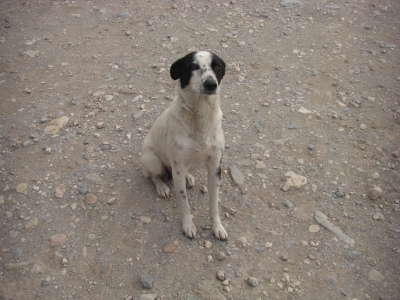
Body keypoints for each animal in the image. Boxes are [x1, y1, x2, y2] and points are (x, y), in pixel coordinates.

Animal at [141, 50, 228, 240]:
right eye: (193, 66)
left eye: (217, 67)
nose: (211, 84)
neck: (201, 117)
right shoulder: (178, 169)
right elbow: (184, 203)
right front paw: (188, 226)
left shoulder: (215, 168)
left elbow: (214, 204)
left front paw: (217, 227)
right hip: (152, 160)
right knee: (152, 175)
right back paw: (162, 186)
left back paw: (189, 177)